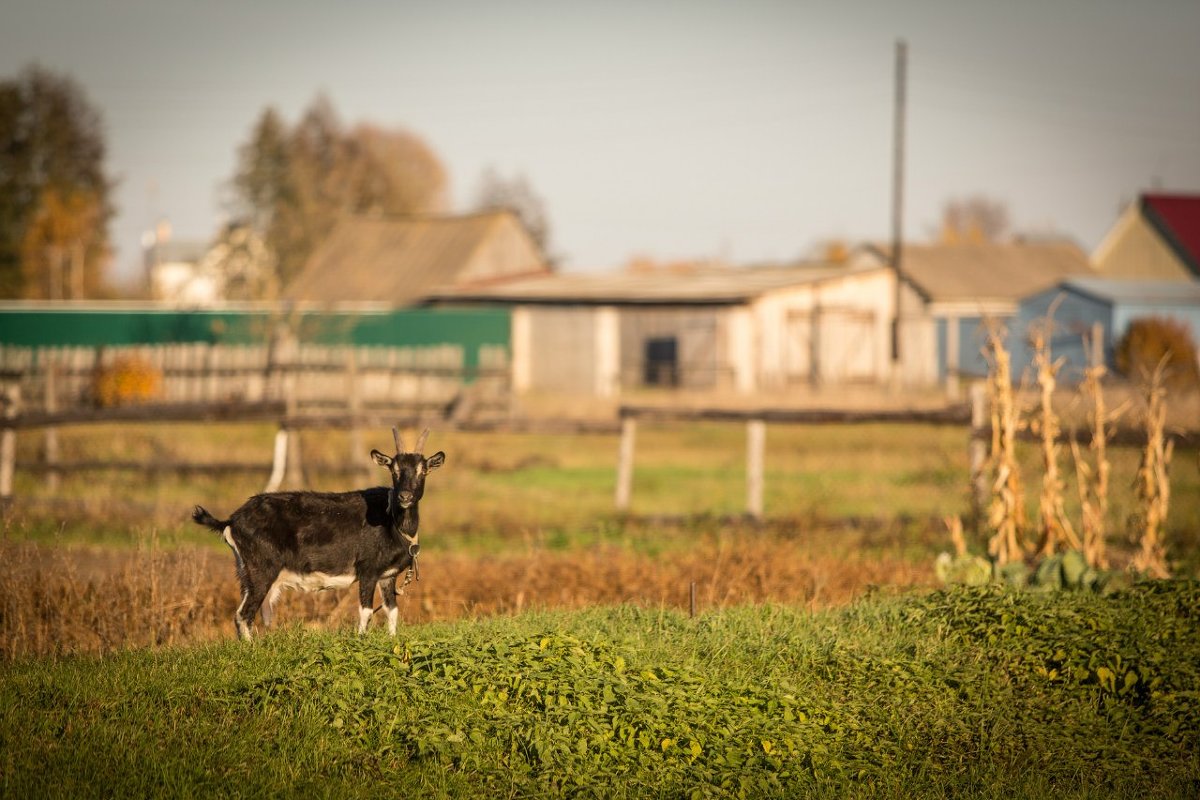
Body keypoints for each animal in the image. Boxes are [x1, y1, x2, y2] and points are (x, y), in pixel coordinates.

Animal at [193, 429, 446, 642]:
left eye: (422, 470)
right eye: (394, 470)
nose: (405, 496)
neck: (392, 520)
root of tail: (231, 521)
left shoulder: (387, 576)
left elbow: (392, 611)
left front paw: (392, 642)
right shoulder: (368, 570)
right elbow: (365, 611)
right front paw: (361, 642)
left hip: (245, 572)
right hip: (261, 569)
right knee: (243, 614)